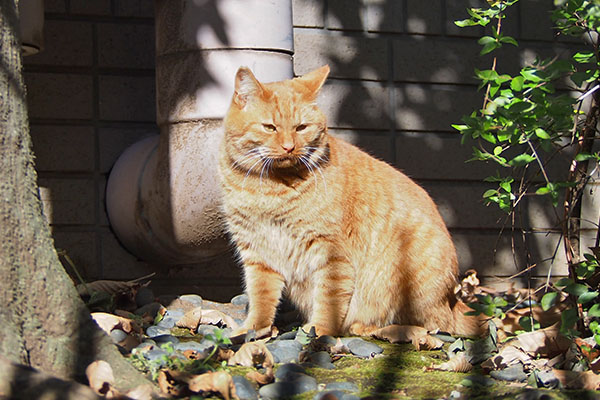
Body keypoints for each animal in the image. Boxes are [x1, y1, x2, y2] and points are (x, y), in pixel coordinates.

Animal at [218, 65, 486, 338]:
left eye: (301, 128)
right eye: (270, 127)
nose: (289, 147)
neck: (270, 188)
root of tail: (452, 301)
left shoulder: (331, 253)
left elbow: (329, 299)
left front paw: (320, 329)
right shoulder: (257, 252)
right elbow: (261, 297)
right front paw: (253, 330)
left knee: (432, 326)